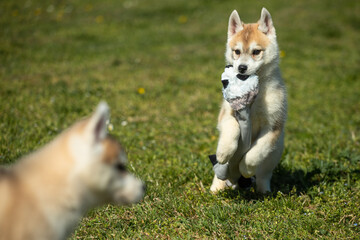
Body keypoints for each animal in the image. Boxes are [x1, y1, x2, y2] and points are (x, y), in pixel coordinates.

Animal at [211, 8, 286, 194]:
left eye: (256, 51)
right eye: (237, 51)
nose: (242, 68)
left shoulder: (274, 126)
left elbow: (257, 151)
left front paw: (245, 168)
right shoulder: (226, 114)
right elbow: (233, 127)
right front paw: (224, 152)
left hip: (276, 153)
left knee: (264, 174)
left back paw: (263, 190)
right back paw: (216, 188)